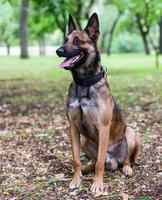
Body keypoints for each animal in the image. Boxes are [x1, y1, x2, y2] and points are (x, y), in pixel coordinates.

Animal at [56, 13, 140, 196]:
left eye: (77, 41)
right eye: (66, 39)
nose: (58, 51)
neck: (84, 83)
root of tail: (114, 160)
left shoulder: (103, 127)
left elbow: (100, 162)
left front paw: (97, 184)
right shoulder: (72, 127)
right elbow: (76, 159)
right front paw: (76, 180)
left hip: (130, 132)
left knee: (125, 160)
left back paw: (127, 168)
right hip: (85, 143)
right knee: (93, 161)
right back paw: (86, 168)